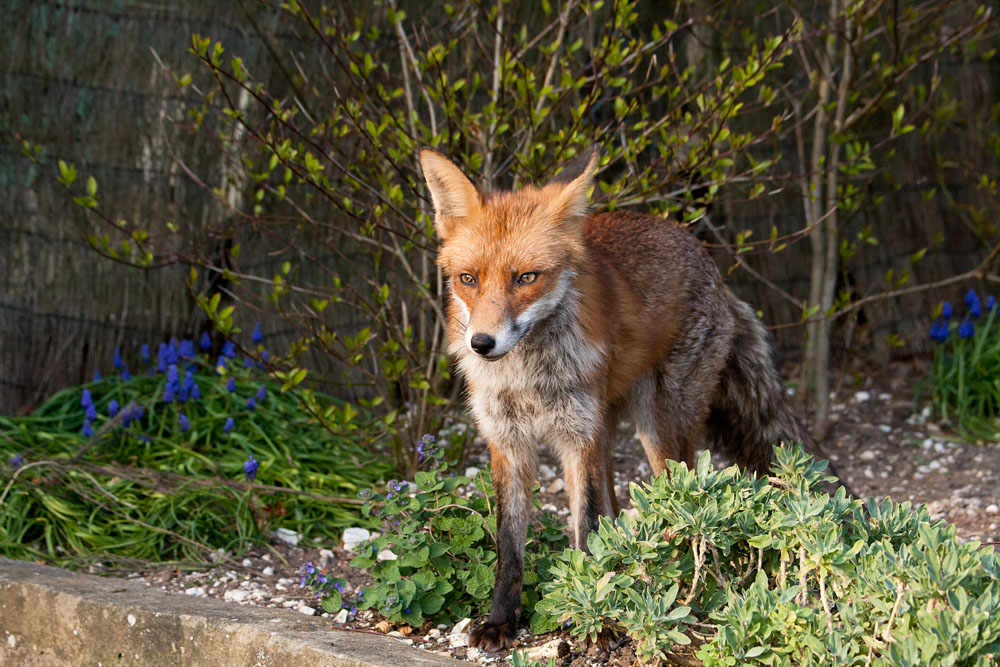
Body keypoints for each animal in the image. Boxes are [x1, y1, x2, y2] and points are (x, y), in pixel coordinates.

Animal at [419, 145, 805, 651]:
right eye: (468, 279)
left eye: (526, 277)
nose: (482, 343)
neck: (527, 380)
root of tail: (709, 261)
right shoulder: (509, 443)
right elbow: (510, 545)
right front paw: (502, 621)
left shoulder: (576, 441)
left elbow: (585, 529)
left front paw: (596, 619)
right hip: (606, 430)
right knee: (618, 511)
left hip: (660, 430)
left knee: (682, 500)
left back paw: (673, 580)